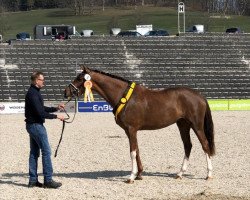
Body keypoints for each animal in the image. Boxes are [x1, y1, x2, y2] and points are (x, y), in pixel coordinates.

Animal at [64, 66, 215, 184]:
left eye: (79, 78)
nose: (66, 92)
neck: (124, 96)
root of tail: (199, 95)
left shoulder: (131, 129)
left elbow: (132, 152)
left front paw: (131, 177)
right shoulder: (129, 131)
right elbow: (136, 150)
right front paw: (139, 175)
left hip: (196, 125)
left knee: (205, 145)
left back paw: (208, 174)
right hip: (183, 125)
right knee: (188, 146)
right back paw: (180, 174)